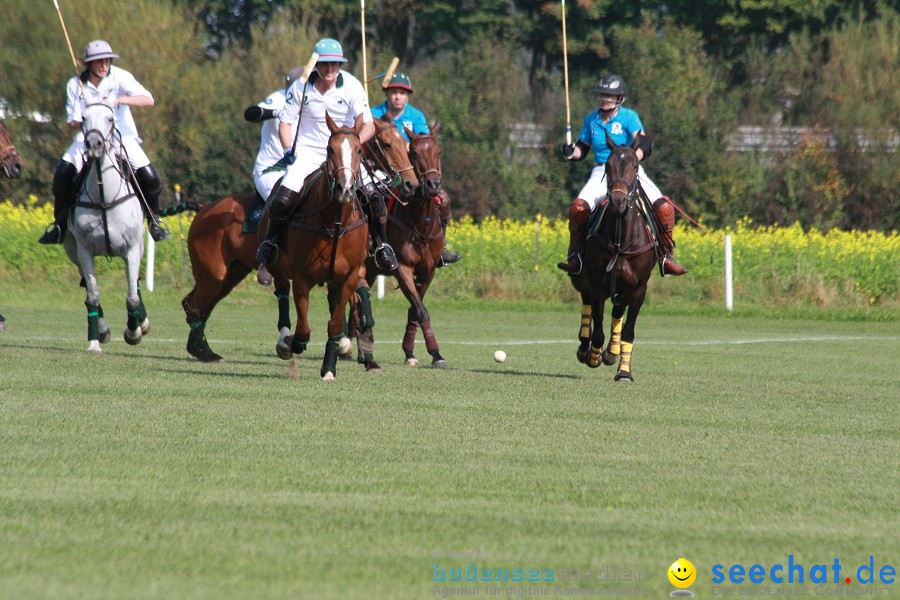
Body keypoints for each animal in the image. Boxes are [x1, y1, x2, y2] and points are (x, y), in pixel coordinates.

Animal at [63, 103, 149, 352]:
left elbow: (132, 297)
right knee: (86, 286)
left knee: (135, 285)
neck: (103, 197)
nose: (94, 145)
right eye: (83, 118)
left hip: (139, 248)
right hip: (72, 251)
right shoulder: (84, 251)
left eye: (110, 118)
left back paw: (142, 323)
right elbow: (92, 295)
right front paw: (95, 341)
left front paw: (133, 332)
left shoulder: (131, 249)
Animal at [356, 125, 446, 368]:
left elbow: (415, 310)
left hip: (369, 271)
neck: (421, 224)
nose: (432, 185)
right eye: (413, 152)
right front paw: (435, 354)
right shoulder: (403, 268)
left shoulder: (429, 271)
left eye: (438, 151)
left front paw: (412, 352)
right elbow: (421, 311)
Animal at [572, 134, 656, 382]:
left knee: (618, 312)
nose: (618, 202)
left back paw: (612, 350)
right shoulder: (598, 284)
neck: (621, 238)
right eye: (608, 166)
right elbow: (598, 329)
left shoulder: (638, 288)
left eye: (635, 166)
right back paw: (586, 348)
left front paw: (624, 370)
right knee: (587, 304)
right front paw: (594, 356)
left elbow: (628, 330)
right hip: (582, 278)